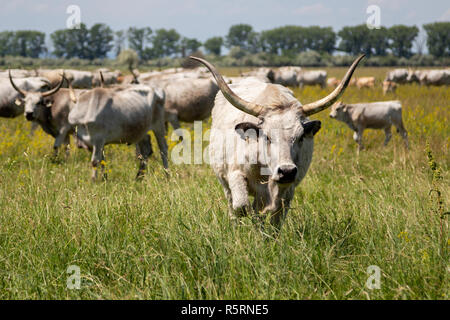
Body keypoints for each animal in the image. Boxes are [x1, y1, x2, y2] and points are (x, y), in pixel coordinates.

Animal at [190, 54, 366, 228]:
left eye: (301, 136)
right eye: (267, 136)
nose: (287, 171)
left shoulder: (287, 189)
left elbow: (275, 216)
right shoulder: (235, 174)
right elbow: (241, 207)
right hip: (224, 179)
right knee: (233, 203)